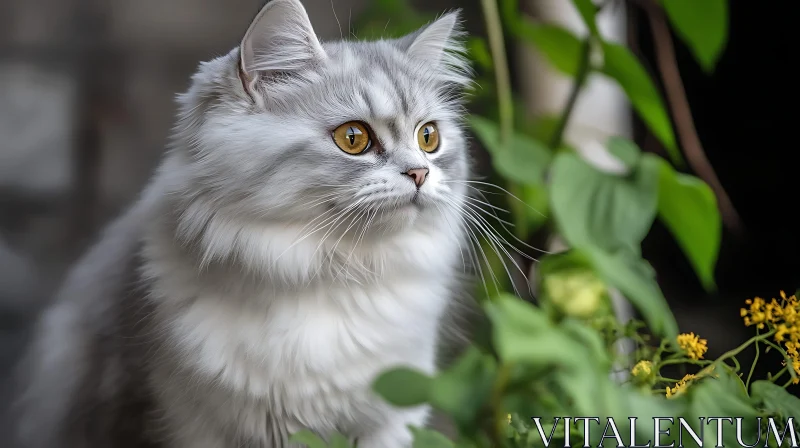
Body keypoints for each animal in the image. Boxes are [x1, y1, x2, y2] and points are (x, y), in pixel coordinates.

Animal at [9, 0, 478, 448]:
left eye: (428, 138)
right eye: (353, 138)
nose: (420, 173)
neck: (334, 275)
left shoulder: (394, 418)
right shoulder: (194, 422)